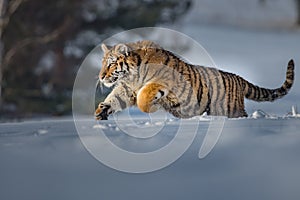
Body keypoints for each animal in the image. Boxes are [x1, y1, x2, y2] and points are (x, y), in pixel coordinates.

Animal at [95, 39, 294, 119]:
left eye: (111, 64)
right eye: (102, 63)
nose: (101, 76)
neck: (131, 76)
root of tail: (239, 78)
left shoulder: (161, 83)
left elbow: (144, 97)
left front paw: (150, 108)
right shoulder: (126, 89)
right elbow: (114, 98)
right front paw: (101, 111)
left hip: (230, 109)